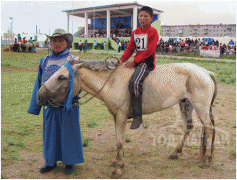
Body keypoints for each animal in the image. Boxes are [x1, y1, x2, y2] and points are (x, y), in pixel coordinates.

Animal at [38, 58, 218, 177]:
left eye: (62, 77)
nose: (40, 96)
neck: (112, 82)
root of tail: (205, 71)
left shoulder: (122, 116)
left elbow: (119, 142)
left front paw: (118, 168)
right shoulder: (115, 116)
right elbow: (118, 140)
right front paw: (118, 162)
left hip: (200, 107)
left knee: (209, 129)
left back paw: (208, 160)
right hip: (185, 104)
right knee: (189, 127)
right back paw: (176, 152)